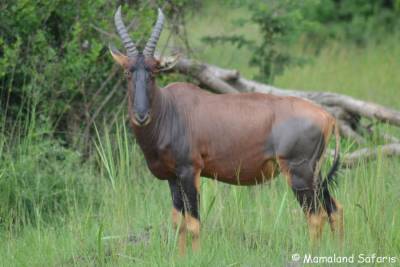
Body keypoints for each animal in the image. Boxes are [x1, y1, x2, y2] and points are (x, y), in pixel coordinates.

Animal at [108, 7, 344, 256]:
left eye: (154, 72)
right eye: (127, 72)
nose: (141, 116)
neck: (170, 108)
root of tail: (327, 116)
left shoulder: (190, 171)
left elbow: (193, 222)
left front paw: (197, 257)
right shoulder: (173, 177)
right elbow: (178, 222)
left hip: (299, 173)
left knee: (316, 216)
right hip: (315, 174)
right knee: (334, 209)